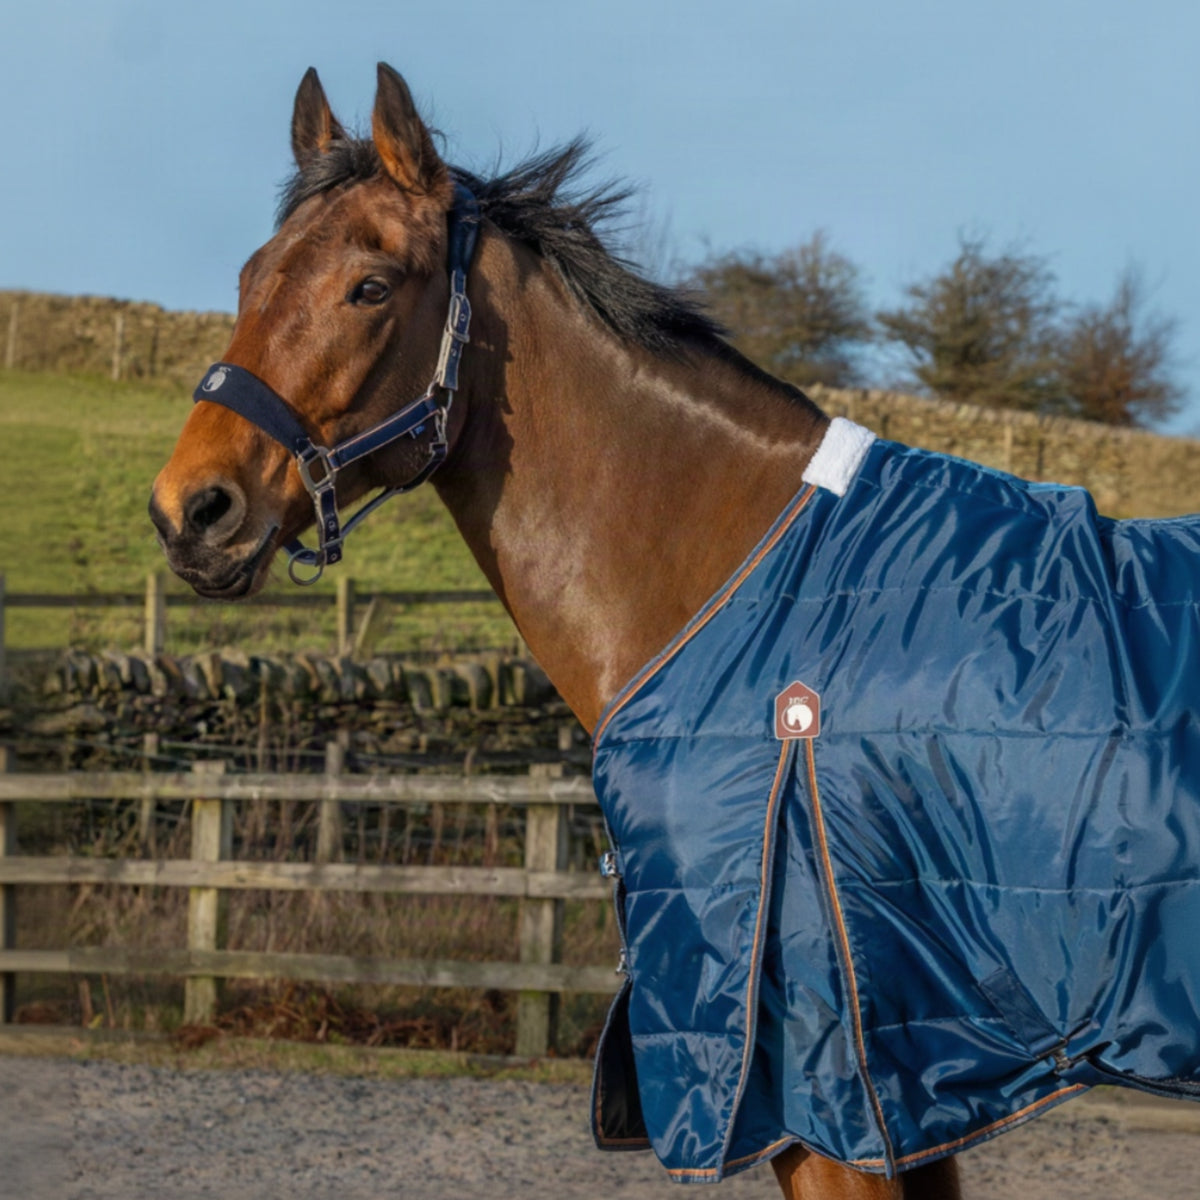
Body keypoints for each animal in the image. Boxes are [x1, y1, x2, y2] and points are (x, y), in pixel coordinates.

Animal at [150, 64, 1200, 1199]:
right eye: (251, 276)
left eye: (372, 287)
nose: (190, 510)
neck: (742, 578)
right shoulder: (914, 1100)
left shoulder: (832, 1098)